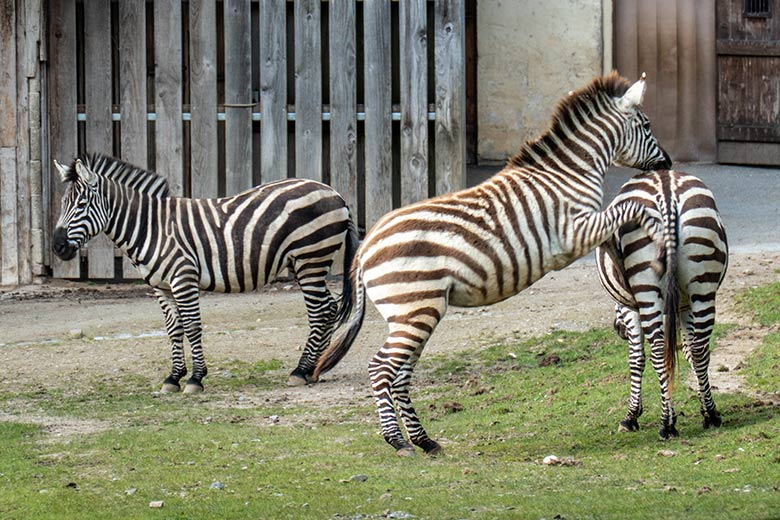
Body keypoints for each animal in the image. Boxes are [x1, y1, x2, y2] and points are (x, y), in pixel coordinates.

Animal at [50, 153, 362, 390]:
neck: (151, 227)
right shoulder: (160, 286)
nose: (57, 246)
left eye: (81, 204)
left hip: (311, 257)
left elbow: (191, 326)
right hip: (304, 262)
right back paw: (313, 369)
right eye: (63, 204)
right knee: (329, 308)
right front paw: (173, 377)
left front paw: (196, 378)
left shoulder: (183, 278)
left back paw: (301, 370)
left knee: (320, 311)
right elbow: (174, 329)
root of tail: (335, 193)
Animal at [314, 72, 672, 456]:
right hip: (414, 309)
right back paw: (397, 441)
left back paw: (424, 440)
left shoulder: (587, 227)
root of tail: (366, 246)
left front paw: (625, 278)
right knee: (380, 368)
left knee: (400, 374)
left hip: (413, 314)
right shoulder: (573, 233)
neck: (571, 174)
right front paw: (659, 234)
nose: (667, 163)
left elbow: (616, 230)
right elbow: (628, 209)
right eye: (647, 125)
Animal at [596, 170, 732, 438]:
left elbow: (636, 359)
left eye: (614, 306)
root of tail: (667, 193)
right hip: (703, 281)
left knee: (658, 351)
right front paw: (704, 406)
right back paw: (711, 416)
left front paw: (631, 416)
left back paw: (666, 424)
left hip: (645, 284)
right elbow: (690, 352)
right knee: (700, 349)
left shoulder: (630, 308)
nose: (617, 330)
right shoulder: (684, 306)